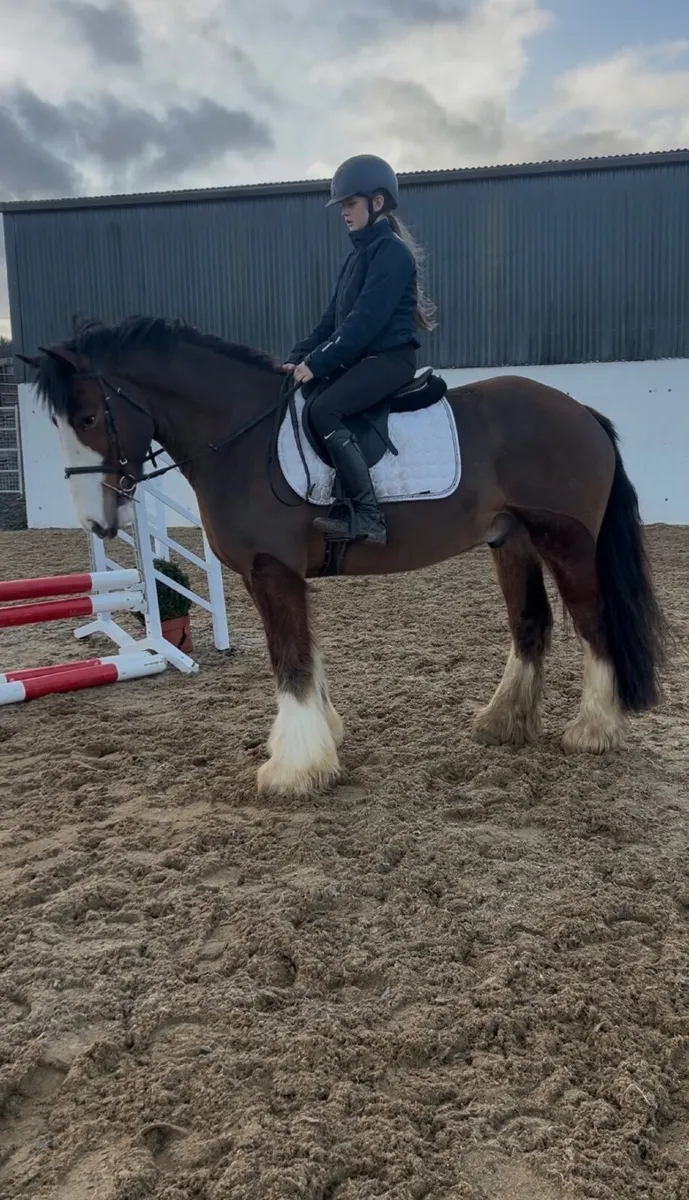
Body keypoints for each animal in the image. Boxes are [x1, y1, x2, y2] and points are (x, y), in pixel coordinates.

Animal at [17, 315, 666, 798]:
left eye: (89, 417)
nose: (98, 522)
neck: (241, 439)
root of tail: (582, 413)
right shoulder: (280, 575)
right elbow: (305, 653)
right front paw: (323, 736)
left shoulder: (271, 571)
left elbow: (289, 660)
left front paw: (294, 769)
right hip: (512, 542)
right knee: (531, 623)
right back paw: (502, 723)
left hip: (567, 542)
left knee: (594, 623)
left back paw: (593, 730)